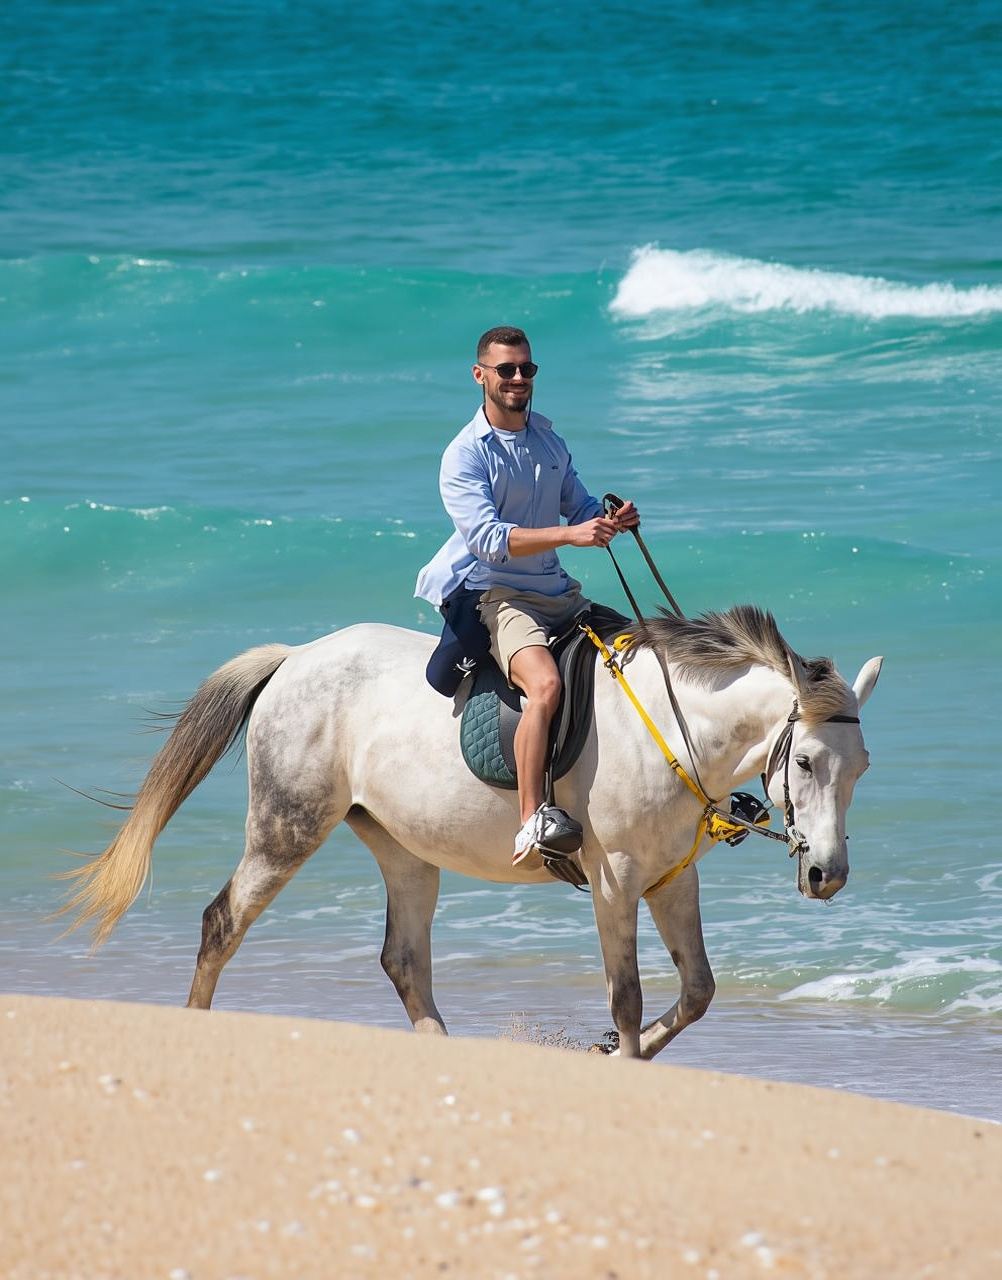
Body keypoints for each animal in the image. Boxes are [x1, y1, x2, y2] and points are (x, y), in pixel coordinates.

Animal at [62, 605, 882, 1060]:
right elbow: (627, 995)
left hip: (403, 848)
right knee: (222, 922)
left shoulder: (671, 880)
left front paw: (612, 1050)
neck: (670, 726)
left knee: (403, 959)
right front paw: (619, 1053)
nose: (827, 876)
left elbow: (698, 991)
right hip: (286, 828)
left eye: (862, 767)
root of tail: (296, 659)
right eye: (804, 761)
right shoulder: (615, 879)